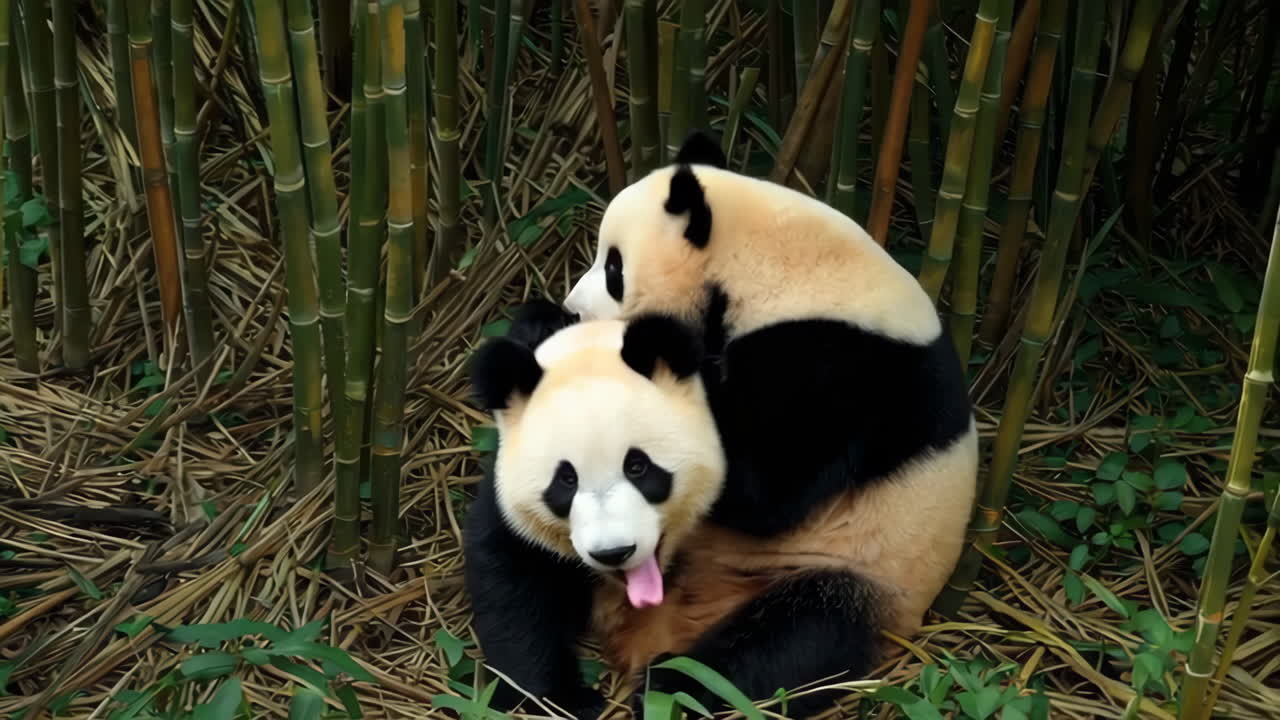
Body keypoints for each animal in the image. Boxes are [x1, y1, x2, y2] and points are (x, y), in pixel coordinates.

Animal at [464, 302, 929, 718]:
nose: (613, 552)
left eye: (638, 467)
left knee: (797, 637)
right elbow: (514, 580)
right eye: (565, 481)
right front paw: (559, 697)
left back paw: (670, 684)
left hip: (849, 572)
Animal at [561, 131, 980, 697]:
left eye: (613, 269)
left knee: (780, 646)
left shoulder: (836, 367)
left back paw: (668, 682)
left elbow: (765, 491)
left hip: (852, 574)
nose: (573, 308)